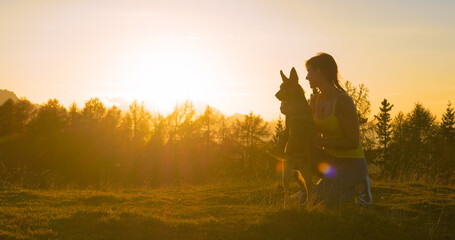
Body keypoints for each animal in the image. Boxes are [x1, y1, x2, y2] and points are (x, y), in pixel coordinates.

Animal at [274, 67, 318, 202]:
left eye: (282, 87)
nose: (275, 95)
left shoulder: (287, 121)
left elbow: (285, 128)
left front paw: (281, 133)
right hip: (306, 174)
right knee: (308, 189)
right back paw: (308, 204)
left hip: (286, 172)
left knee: (286, 191)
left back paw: (286, 202)